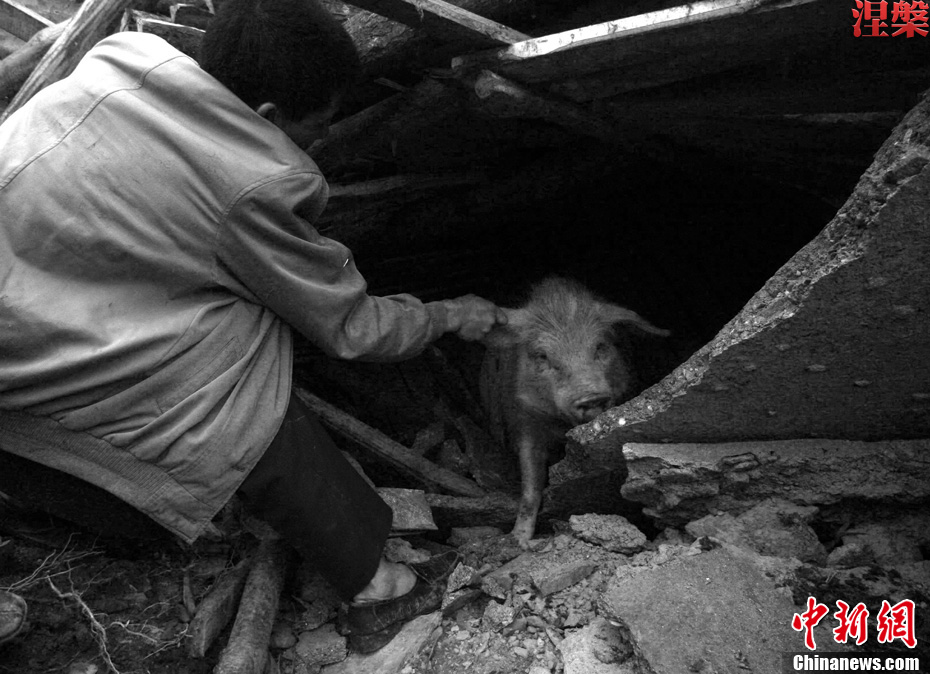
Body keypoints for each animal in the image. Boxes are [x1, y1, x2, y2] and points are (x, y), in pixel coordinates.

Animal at [478, 276, 668, 544]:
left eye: (600, 346)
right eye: (542, 355)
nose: (591, 396)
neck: (562, 426)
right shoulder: (523, 420)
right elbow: (530, 485)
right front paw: (519, 540)